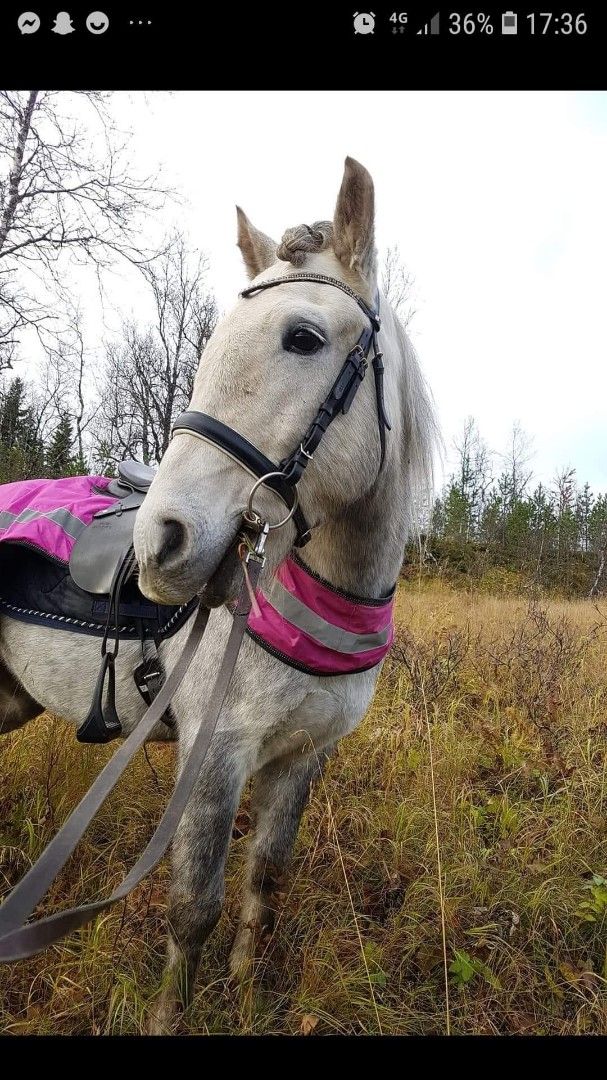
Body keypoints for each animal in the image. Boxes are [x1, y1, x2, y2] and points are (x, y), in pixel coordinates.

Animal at [0, 157, 437, 1032]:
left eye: (301, 338)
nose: (159, 544)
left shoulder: (302, 757)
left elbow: (264, 881)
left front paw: (242, 990)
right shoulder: (215, 755)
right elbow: (193, 906)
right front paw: (172, 1014)